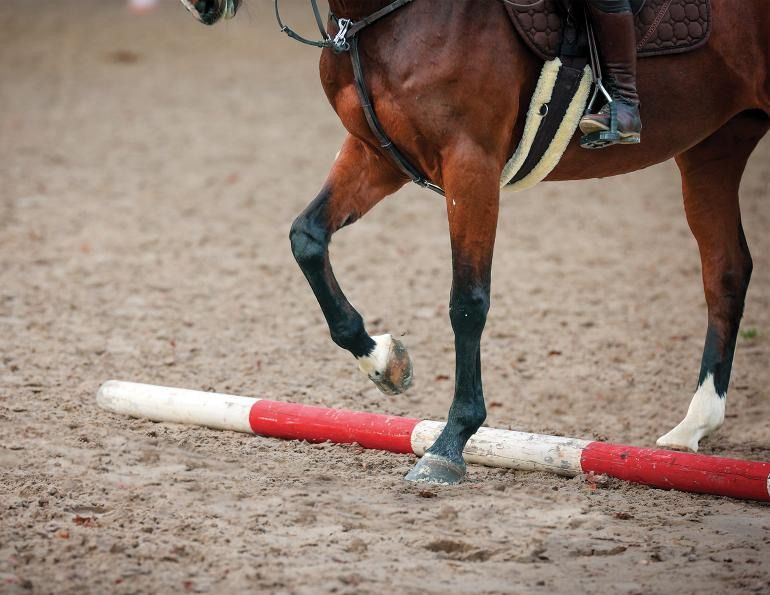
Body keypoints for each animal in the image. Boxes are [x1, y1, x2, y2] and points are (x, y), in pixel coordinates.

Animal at [178, 0, 768, 484]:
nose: (198, 5)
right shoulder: (376, 154)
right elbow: (306, 239)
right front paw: (383, 361)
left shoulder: (471, 164)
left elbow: (467, 302)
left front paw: (450, 442)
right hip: (713, 147)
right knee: (726, 272)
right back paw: (693, 426)